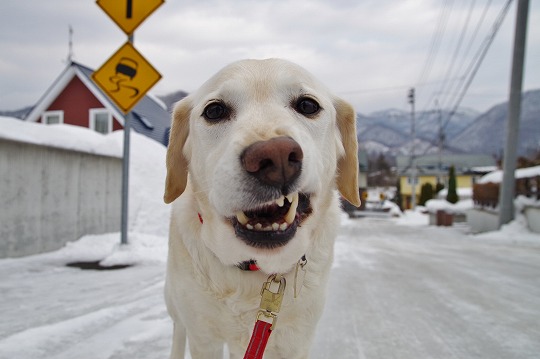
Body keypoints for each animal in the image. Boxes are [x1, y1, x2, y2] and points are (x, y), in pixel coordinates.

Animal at [162, 59, 360, 359]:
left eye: (308, 105)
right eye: (214, 110)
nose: (275, 156)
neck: (254, 269)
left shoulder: (296, 341)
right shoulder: (203, 337)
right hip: (176, 306)